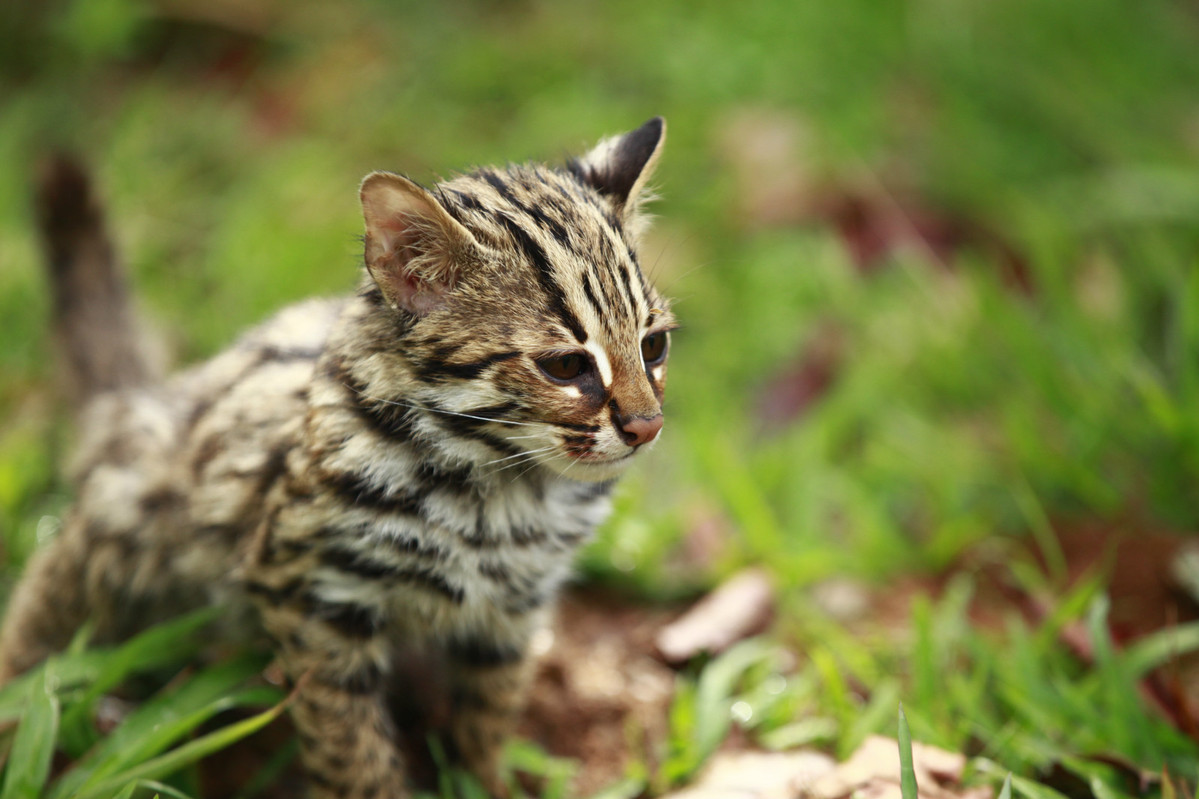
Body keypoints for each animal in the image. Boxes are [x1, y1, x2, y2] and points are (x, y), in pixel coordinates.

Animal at [0, 118, 676, 796]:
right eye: (564, 366)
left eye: (655, 346)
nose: (647, 426)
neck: (505, 491)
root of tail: (146, 401)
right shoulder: (313, 594)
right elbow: (350, 746)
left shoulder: (511, 612)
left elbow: (486, 719)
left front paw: (483, 782)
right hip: (128, 523)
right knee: (48, 596)